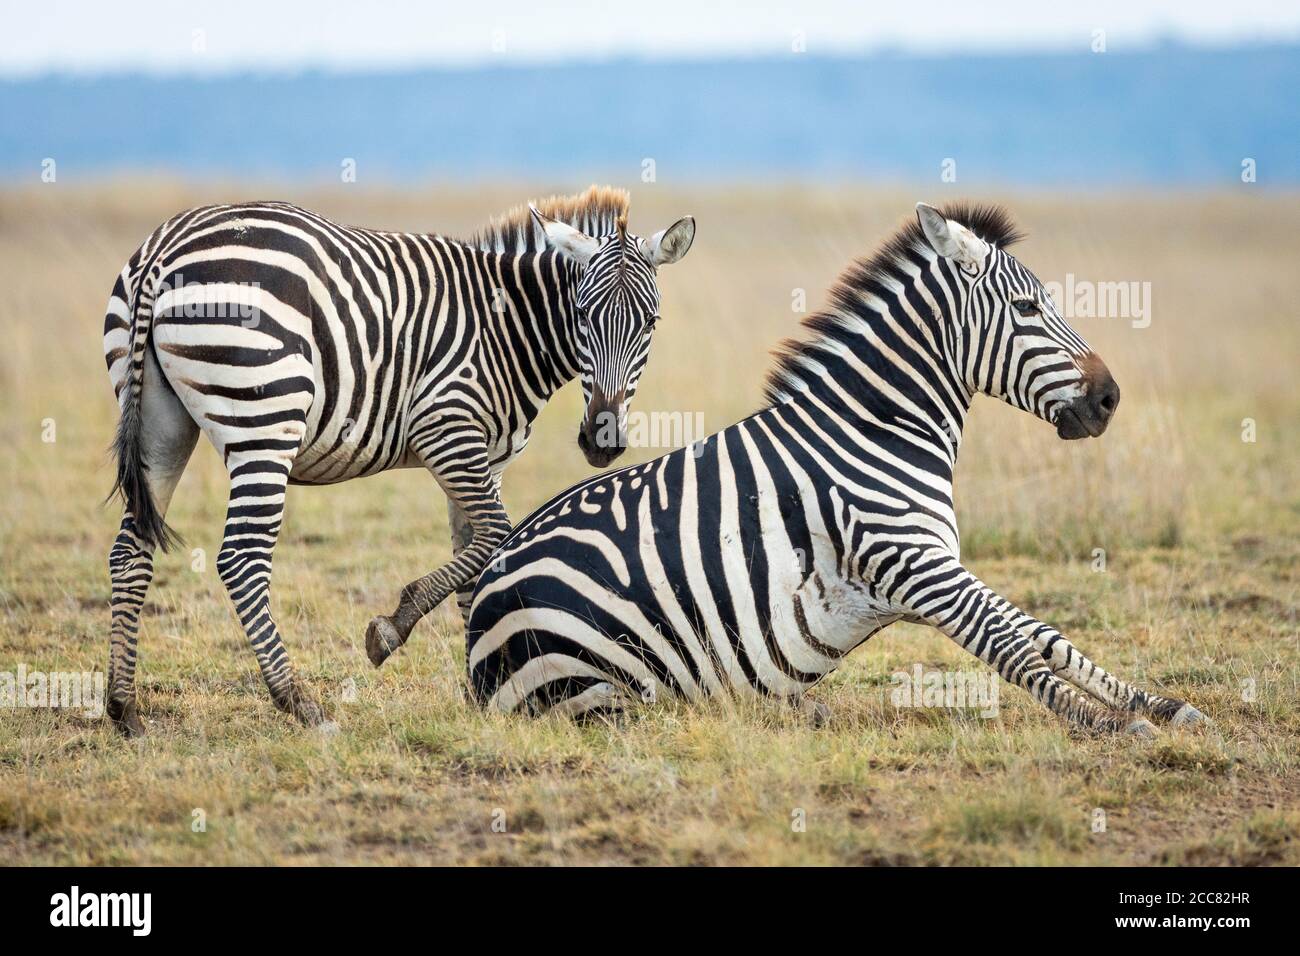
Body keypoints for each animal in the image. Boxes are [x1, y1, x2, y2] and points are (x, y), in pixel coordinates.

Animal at [98, 184, 702, 733]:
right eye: (580, 313)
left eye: (651, 323)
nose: (602, 441)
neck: (506, 327)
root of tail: (165, 248)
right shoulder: (446, 427)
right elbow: (495, 538)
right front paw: (394, 631)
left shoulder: (483, 456)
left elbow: (477, 558)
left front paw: (480, 678)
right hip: (264, 419)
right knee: (241, 558)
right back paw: (299, 703)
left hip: (160, 421)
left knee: (130, 551)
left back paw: (125, 708)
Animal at [467, 201, 1206, 733]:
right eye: (1027, 308)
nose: (1109, 398)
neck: (876, 430)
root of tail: (475, 613)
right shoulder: (914, 564)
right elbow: (1008, 642)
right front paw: (1109, 723)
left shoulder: (936, 562)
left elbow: (1044, 635)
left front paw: (1160, 705)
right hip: (605, 679)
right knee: (654, 711)